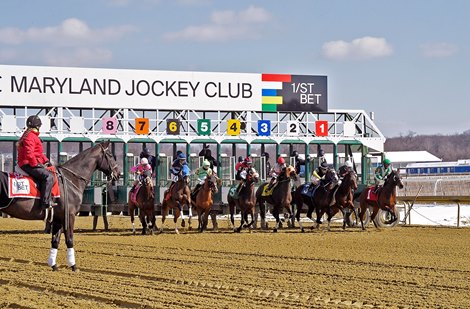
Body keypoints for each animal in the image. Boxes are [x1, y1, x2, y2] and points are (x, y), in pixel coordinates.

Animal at [0, 141, 119, 270]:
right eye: (110, 155)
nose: (118, 174)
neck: (70, 179)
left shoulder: (58, 218)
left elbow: (55, 241)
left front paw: (53, 265)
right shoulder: (69, 216)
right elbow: (69, 239)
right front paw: (73, 266)